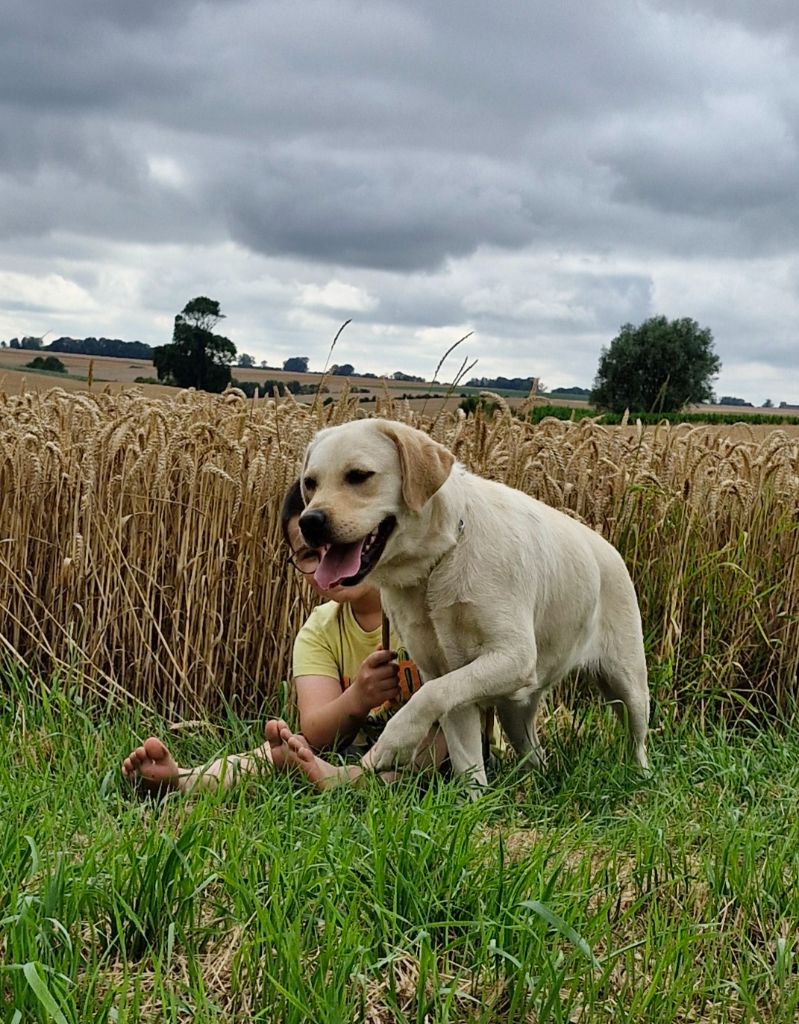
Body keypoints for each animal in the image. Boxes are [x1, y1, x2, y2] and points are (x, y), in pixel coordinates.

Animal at [299, 415, 647, 782]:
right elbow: (463, 753)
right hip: (516, 711)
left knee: (638, 741)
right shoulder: (450, 676)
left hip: (628, 684)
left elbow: (427, 696)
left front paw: (392, 744)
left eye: (358, 475)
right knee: (535, 754)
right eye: (310, 483)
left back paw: (640, 778)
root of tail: (611, 549)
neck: (437, 563)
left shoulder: (512, 656)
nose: (309, 522)